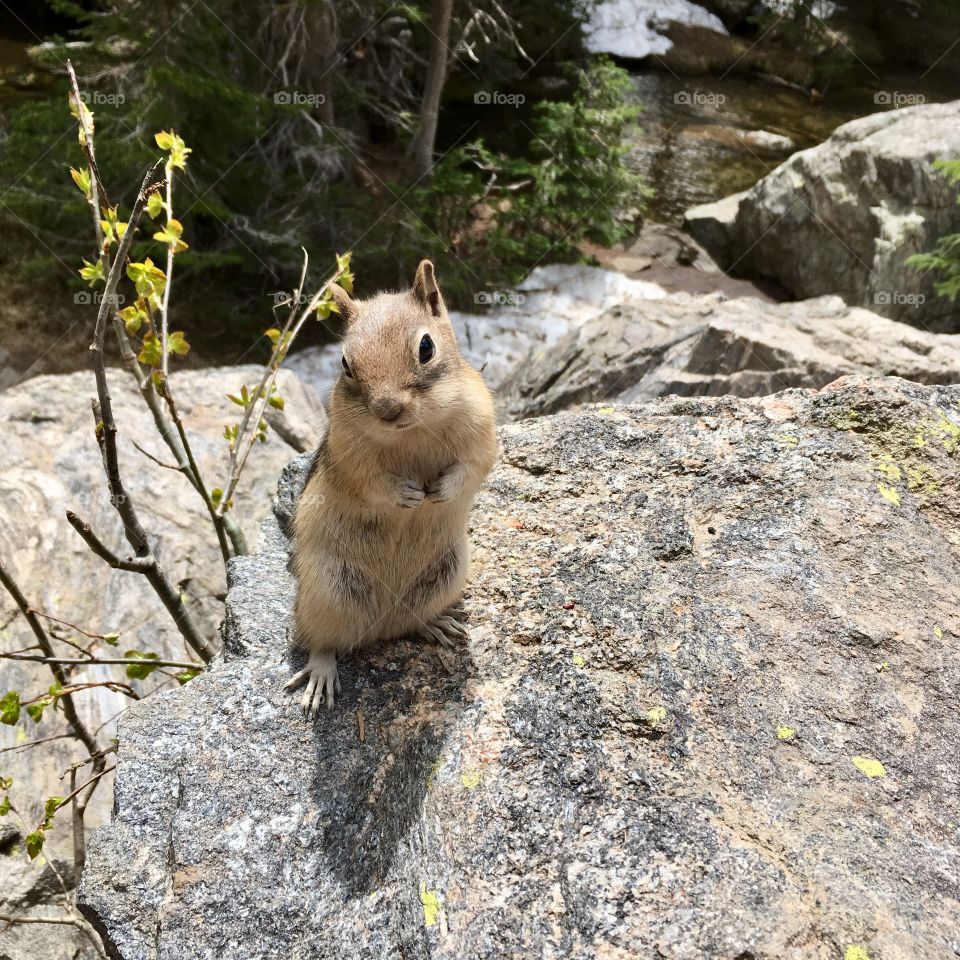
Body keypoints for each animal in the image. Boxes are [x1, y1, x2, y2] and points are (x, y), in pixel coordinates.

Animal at [286, 260, 498, 715]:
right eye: (345, 363)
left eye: (426, 347)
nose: (388, 409)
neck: (412, 431)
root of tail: (379, 629)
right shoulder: (350, 454)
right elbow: (370, 482)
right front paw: (408, 495)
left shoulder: (481, 428)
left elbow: (473, 467)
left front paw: (442, 491)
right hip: (328, 591)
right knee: (322, 642)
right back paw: (320, 675)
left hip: (446, 574)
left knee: (409, 623)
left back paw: (437, 625)